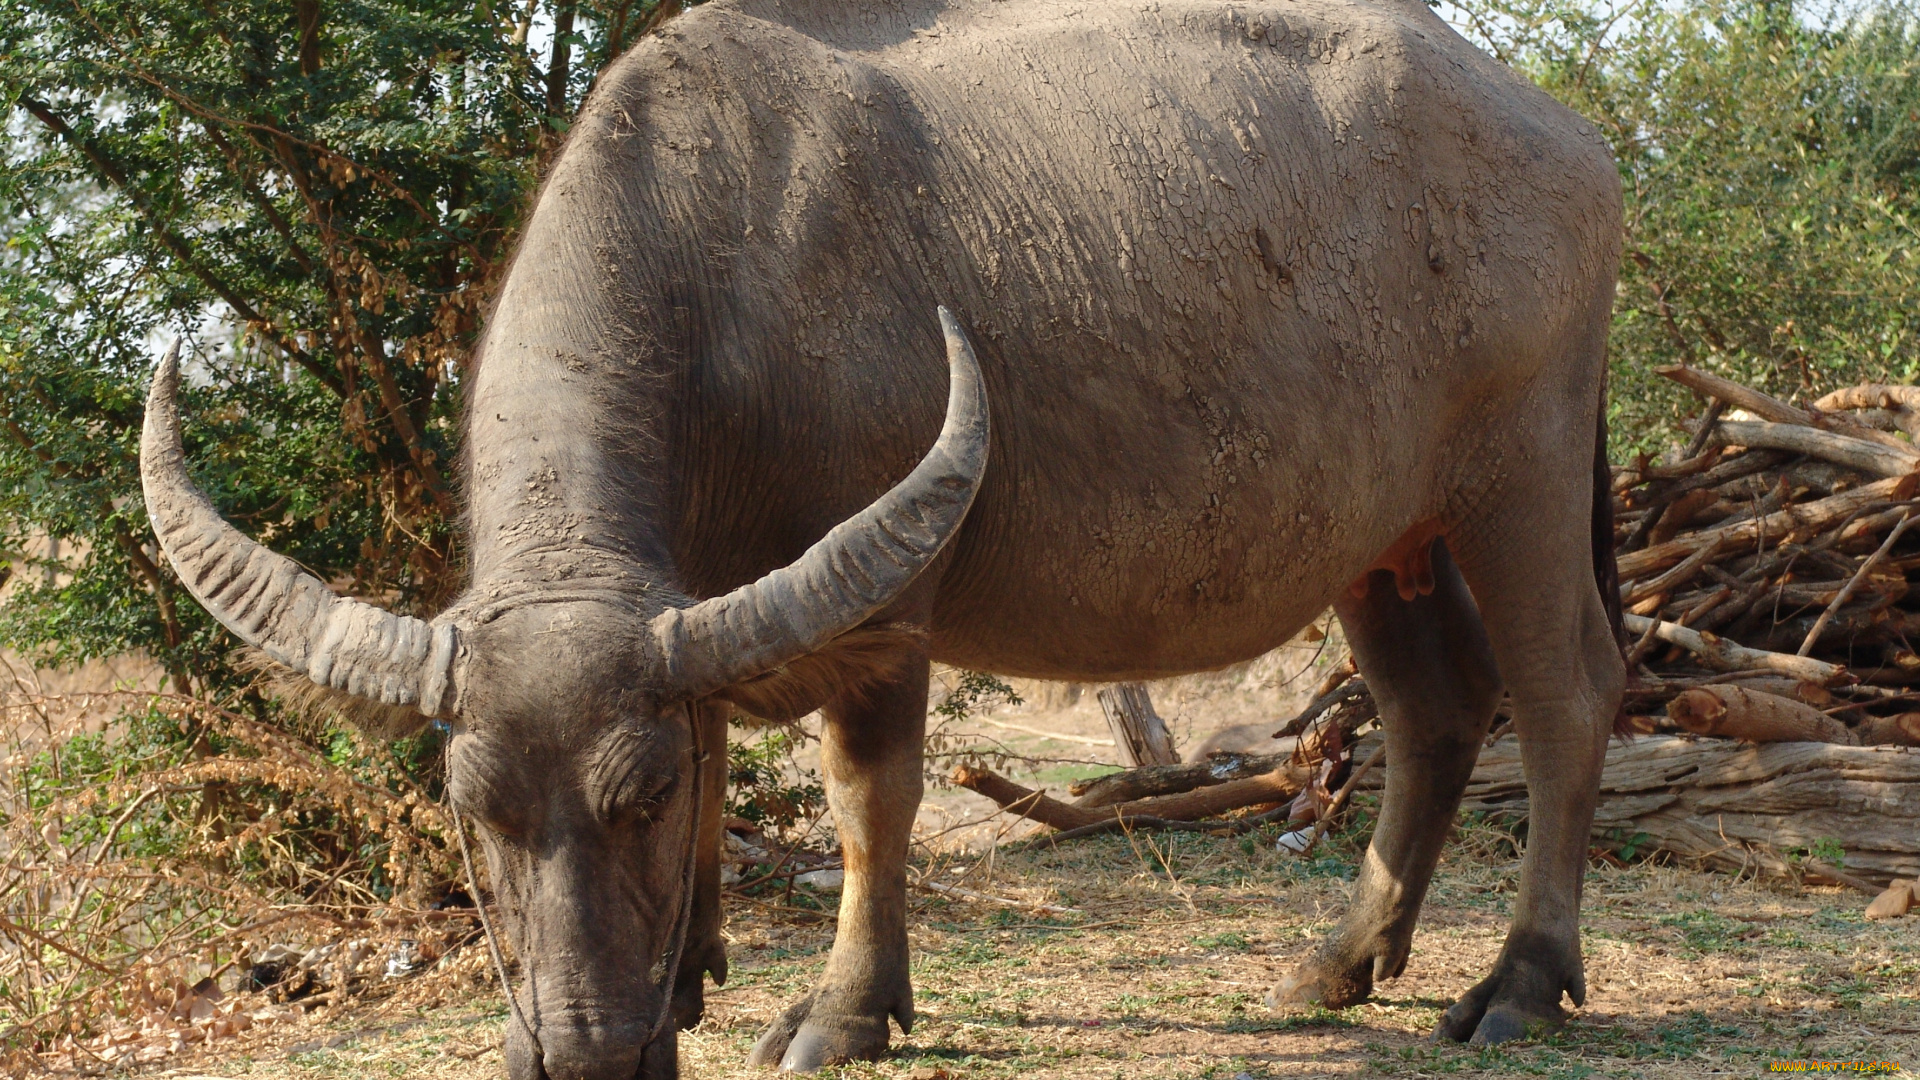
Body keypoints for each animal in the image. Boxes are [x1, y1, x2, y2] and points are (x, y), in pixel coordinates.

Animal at [142, 4, 1628, 1068]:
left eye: (635, 801)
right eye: (475, 813)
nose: (579, 1052)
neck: (727, 284)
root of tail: (1568, 137)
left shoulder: (884, 613)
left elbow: (867, 802)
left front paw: (844, 1011)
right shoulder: (693, 610)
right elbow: (718, 747)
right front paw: (691, 969)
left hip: (1527, 479)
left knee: (1565, 696)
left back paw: (1520, 980)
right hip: (1384, 537)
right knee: (1436, 710)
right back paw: (1339, 960)